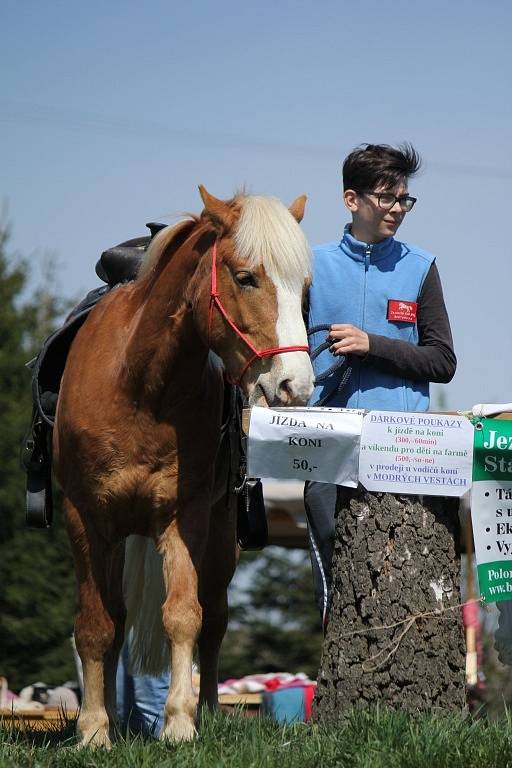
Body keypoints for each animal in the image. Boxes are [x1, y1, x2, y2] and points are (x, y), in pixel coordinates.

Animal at [54, 184, 314, 744]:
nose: (296, 386)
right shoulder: (85, 519)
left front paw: (178, 722)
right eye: (245, 277)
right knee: (117, 619)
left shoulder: (185, 516)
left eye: (304, 288)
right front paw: (93, 729)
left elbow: (183, 615)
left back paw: (209, 710)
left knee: (213, 620)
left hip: (220, 535)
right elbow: (95, 625)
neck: (140, 388)